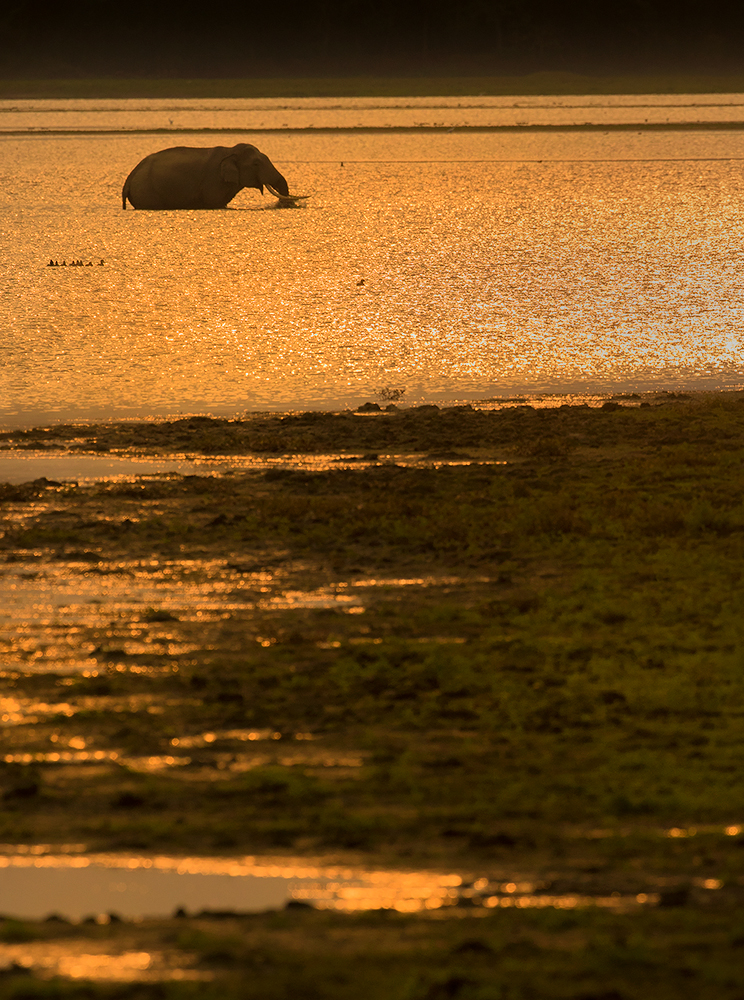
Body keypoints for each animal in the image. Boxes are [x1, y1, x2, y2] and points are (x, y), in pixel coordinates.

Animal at [120, 143, 290, 209]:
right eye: (255, 164)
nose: (285, 204)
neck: (230, 151)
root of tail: (129, 179)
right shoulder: (213, 180)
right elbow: (214, 201)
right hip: (146, 192)